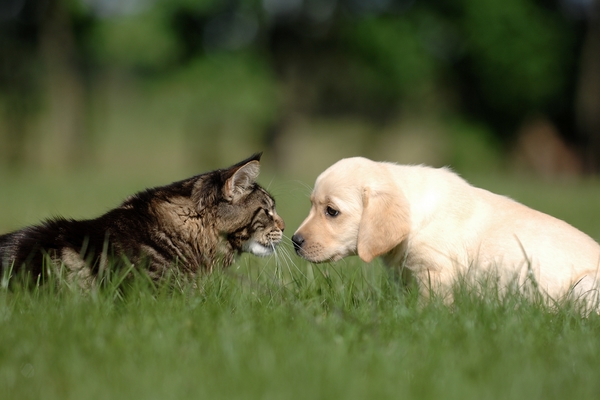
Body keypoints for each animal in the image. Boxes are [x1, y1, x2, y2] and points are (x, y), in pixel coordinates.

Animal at [292, 158, 600, 304]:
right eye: (311, 206)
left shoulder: (436, 273)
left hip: (584, 287)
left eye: (331, 211)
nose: (294, 241)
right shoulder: (407, 276)